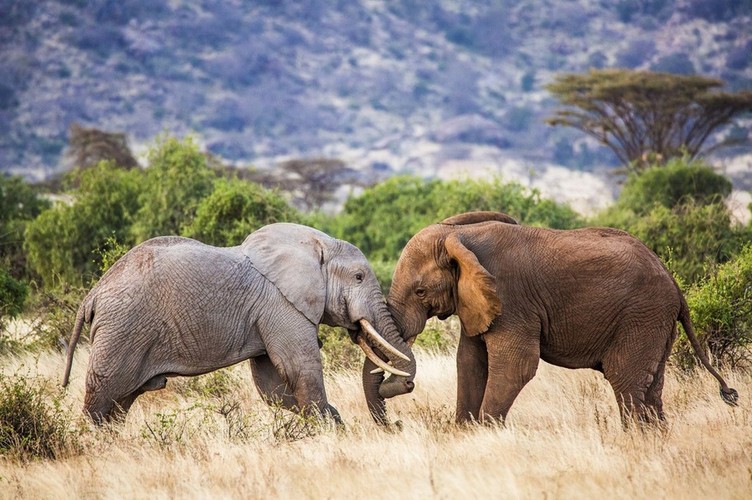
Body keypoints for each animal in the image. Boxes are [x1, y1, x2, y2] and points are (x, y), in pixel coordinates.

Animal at [63, 225, 418, 424]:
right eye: (358, 277)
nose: (397, 424)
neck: (318, 243)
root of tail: (92, 295)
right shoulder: (280, 304)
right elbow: (300, 369)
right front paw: (330, 428)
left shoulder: (267, 313)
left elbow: (271, 385)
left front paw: (332, 421)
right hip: (121, 331)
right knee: (102, 397)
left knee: (119, 404)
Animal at [384, 211, 736, 426]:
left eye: (420, 291)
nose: (402, 387)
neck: (460, 236)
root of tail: (673, 282)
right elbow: (470, 362)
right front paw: (464, 433)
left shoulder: (512, 300)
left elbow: (516, 366)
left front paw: (484, 433)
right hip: (656, 321)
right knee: (651, 387)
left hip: (642, 316)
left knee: (627, 381)